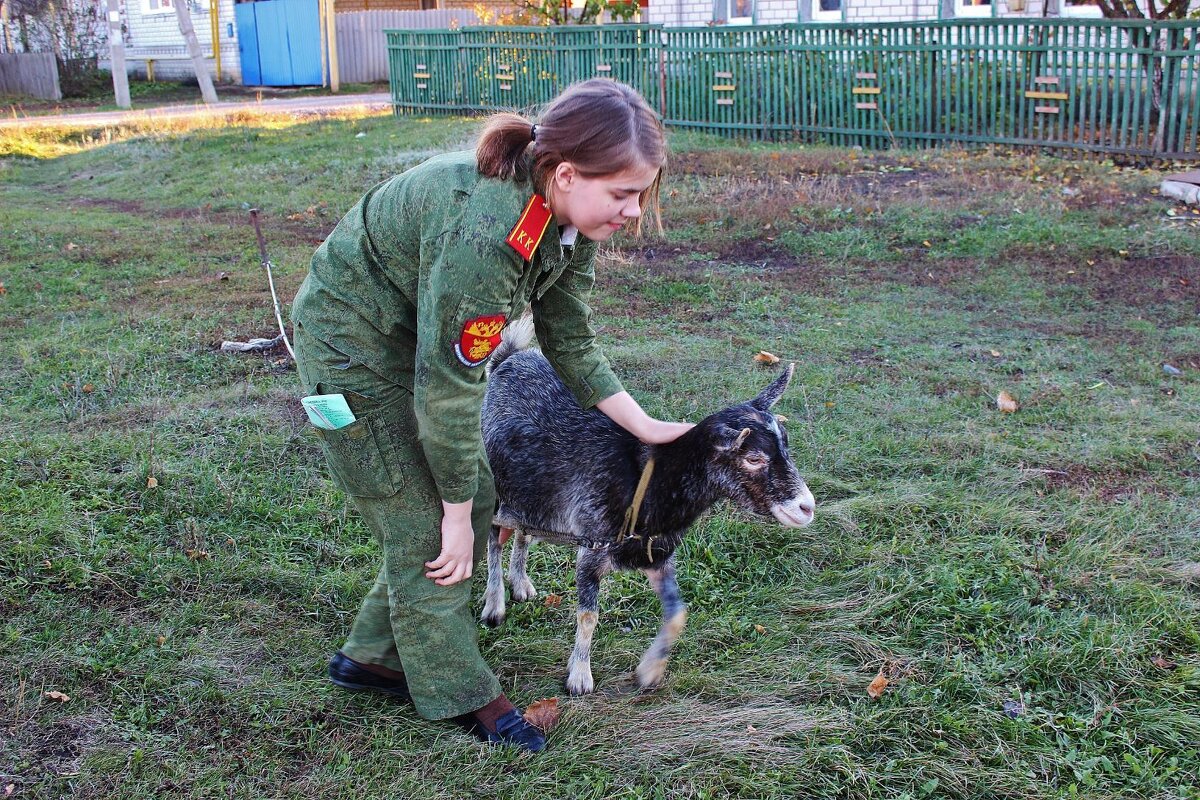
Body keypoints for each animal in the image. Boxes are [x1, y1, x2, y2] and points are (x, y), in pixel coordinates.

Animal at [480, 319, 816, 695]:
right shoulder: (592, 549)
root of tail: (508, 360)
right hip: (497, 487)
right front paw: (579, 677)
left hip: (535, 493)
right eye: (753, 458)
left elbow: (678, 613)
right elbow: (589, 615)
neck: (648, 482)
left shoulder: (657, 556)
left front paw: (649, 671)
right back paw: (494, 604)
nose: (806, 507)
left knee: (522, 533)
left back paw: (521, 583)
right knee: (493, 537)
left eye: (786, 445)